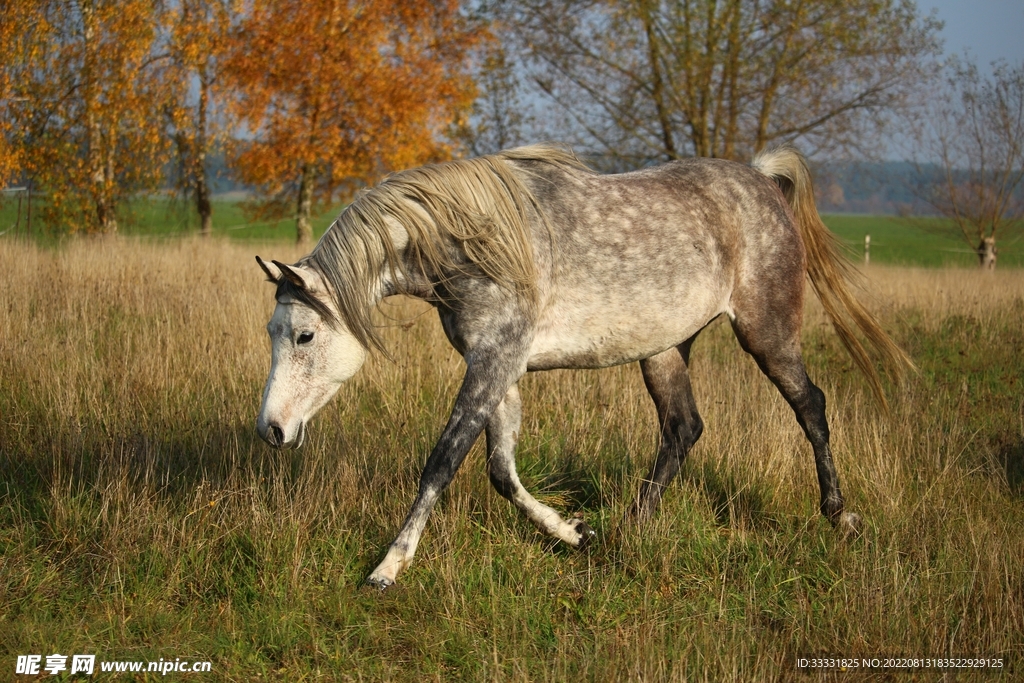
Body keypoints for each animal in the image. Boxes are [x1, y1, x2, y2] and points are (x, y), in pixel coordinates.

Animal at [255, 144, 911, 590]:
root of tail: (762, 181)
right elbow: (501, 472)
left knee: (810, 407)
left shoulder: (493, 365)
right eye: (273, 334)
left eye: (305, 334)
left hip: (767, 333)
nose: (272, 431)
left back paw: (838, 515)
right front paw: (575, 534)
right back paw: (628, 530)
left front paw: (389, 566)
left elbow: (442, 462)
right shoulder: (500, 370)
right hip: (664, 350)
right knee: (682, 429)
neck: (478, 240)